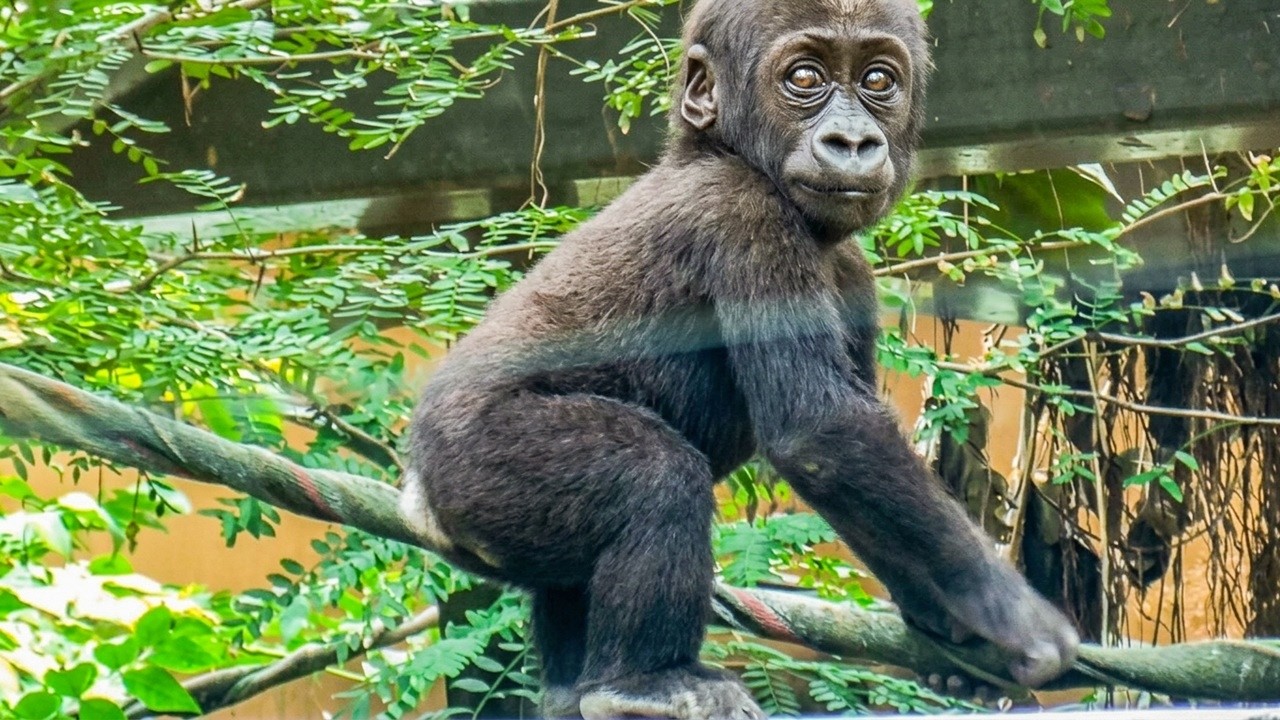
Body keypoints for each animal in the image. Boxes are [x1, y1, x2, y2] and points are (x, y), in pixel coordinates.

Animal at [401, 0, 1080, 717]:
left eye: (878, 80)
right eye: (805, 78)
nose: (853, 143)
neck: (719, 150)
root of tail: (422, 499)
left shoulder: (853, 272)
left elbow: (852, 463)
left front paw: (950, 629)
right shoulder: (743, 215)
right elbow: (824, 431)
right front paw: (1005, 611)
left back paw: (574, 689)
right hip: (472, 464)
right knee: (654, 476)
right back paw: (643, 682)